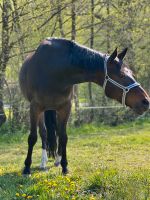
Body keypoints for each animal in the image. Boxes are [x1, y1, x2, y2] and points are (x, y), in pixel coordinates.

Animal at [19, 37, 149, 175]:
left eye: (132, 74)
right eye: (122, 75)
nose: (146, 101)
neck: (54, 70)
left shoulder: (65, 108)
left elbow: (63, 137)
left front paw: (65, 166)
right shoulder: (35, 107)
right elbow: (32, 137)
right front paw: (26, 168)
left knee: (57, 133)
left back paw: (57, 160)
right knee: (43, 133)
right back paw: (43, 163)